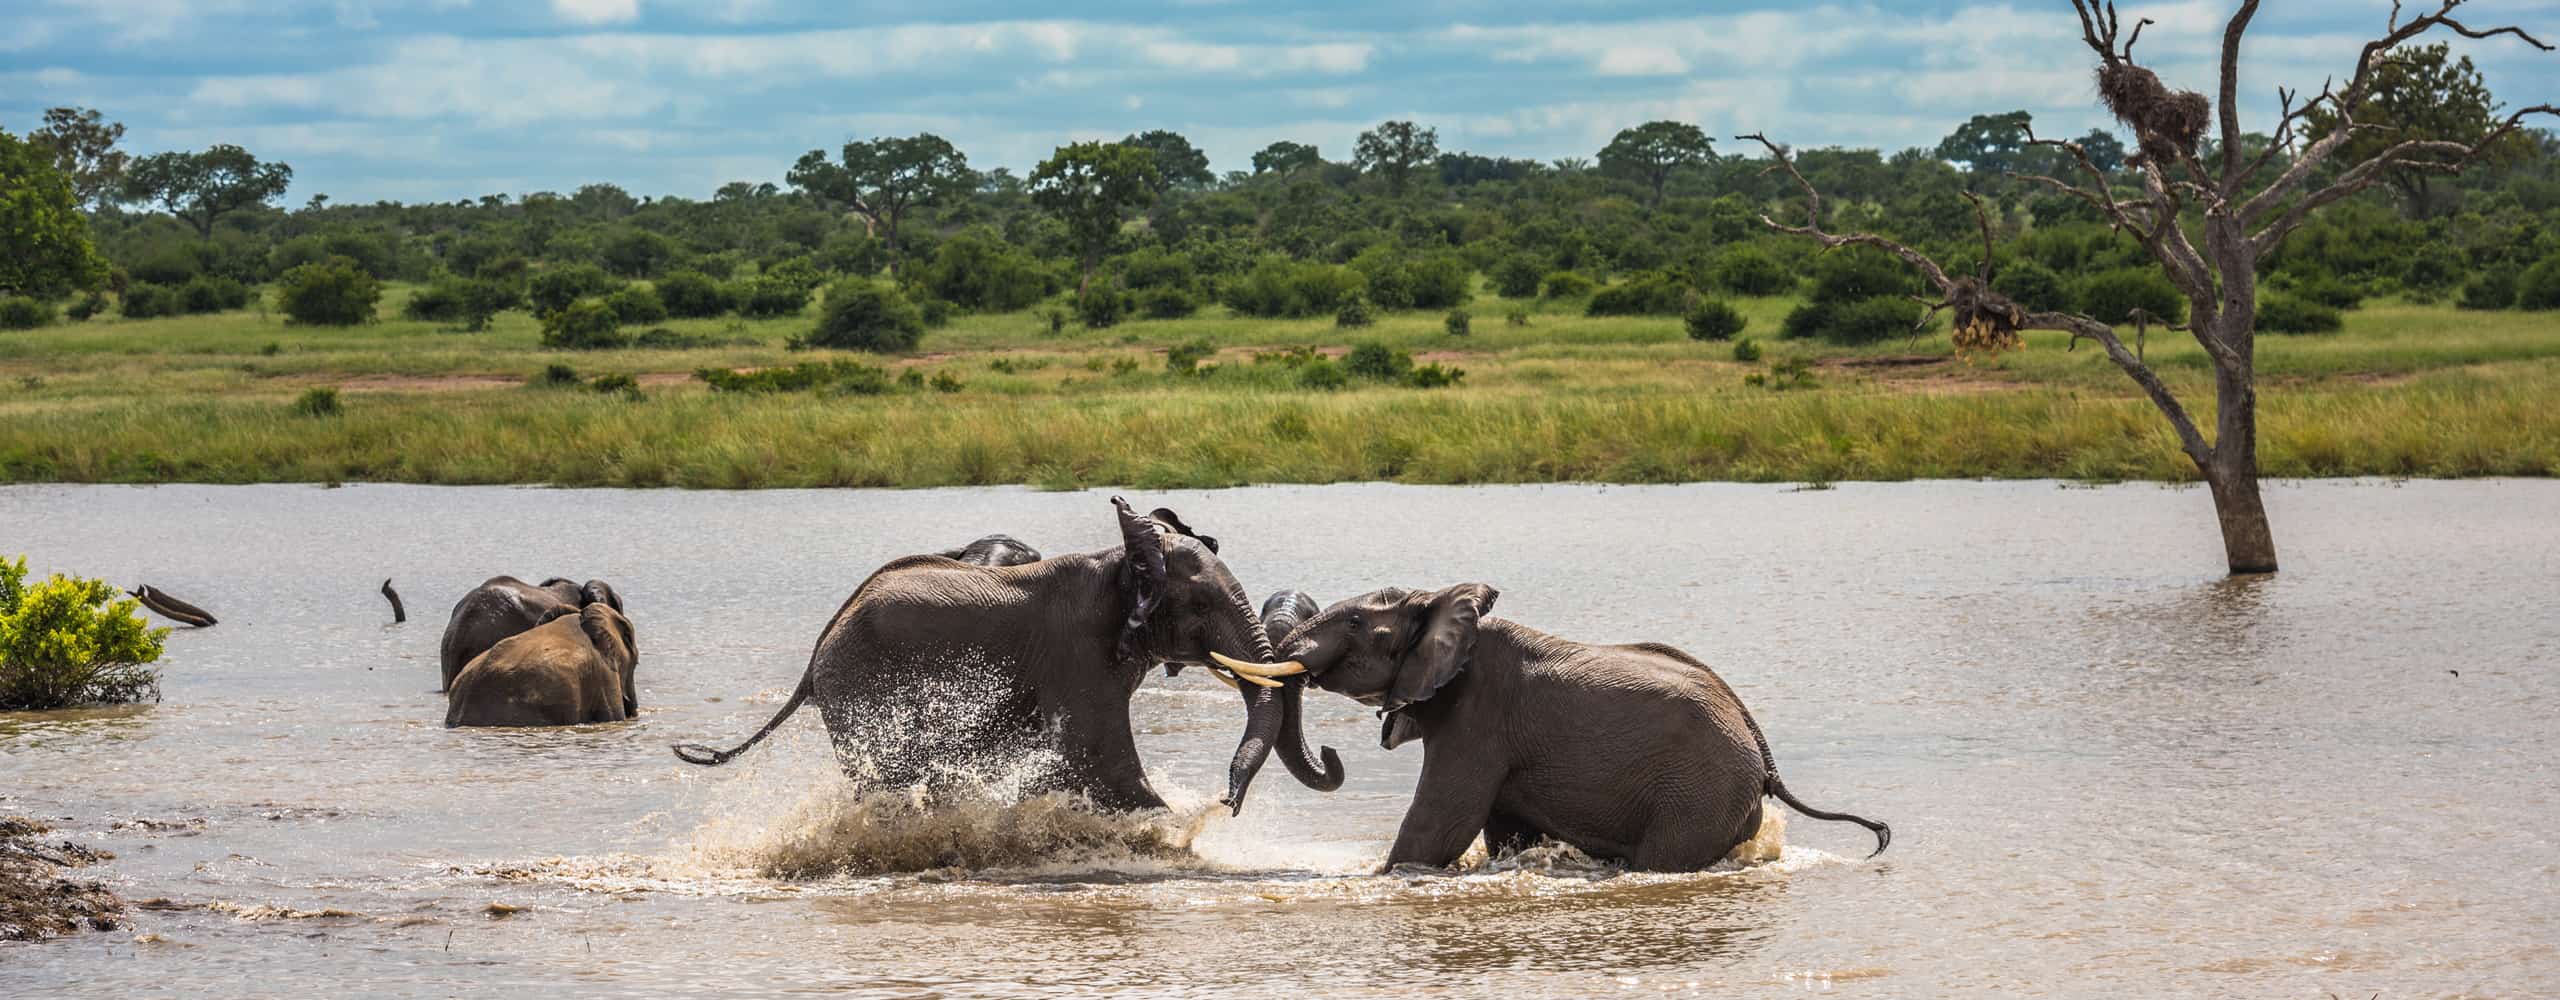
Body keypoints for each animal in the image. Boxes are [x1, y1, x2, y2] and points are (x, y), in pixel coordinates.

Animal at [680, 496, 1341, 818]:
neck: (1120, 562)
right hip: (858, 686)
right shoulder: (1078, 655)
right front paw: (1177, 826)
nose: (1226, 801)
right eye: (1200, 606)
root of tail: (819, 649)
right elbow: (1097, 755)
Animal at [1269, 583, 1894, 874]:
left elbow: (1439, 826)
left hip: (1700, 793)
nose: (1331, 750)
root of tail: (1763, 757)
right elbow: (1504, 832)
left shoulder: (1478, 716)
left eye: (1356, 623)